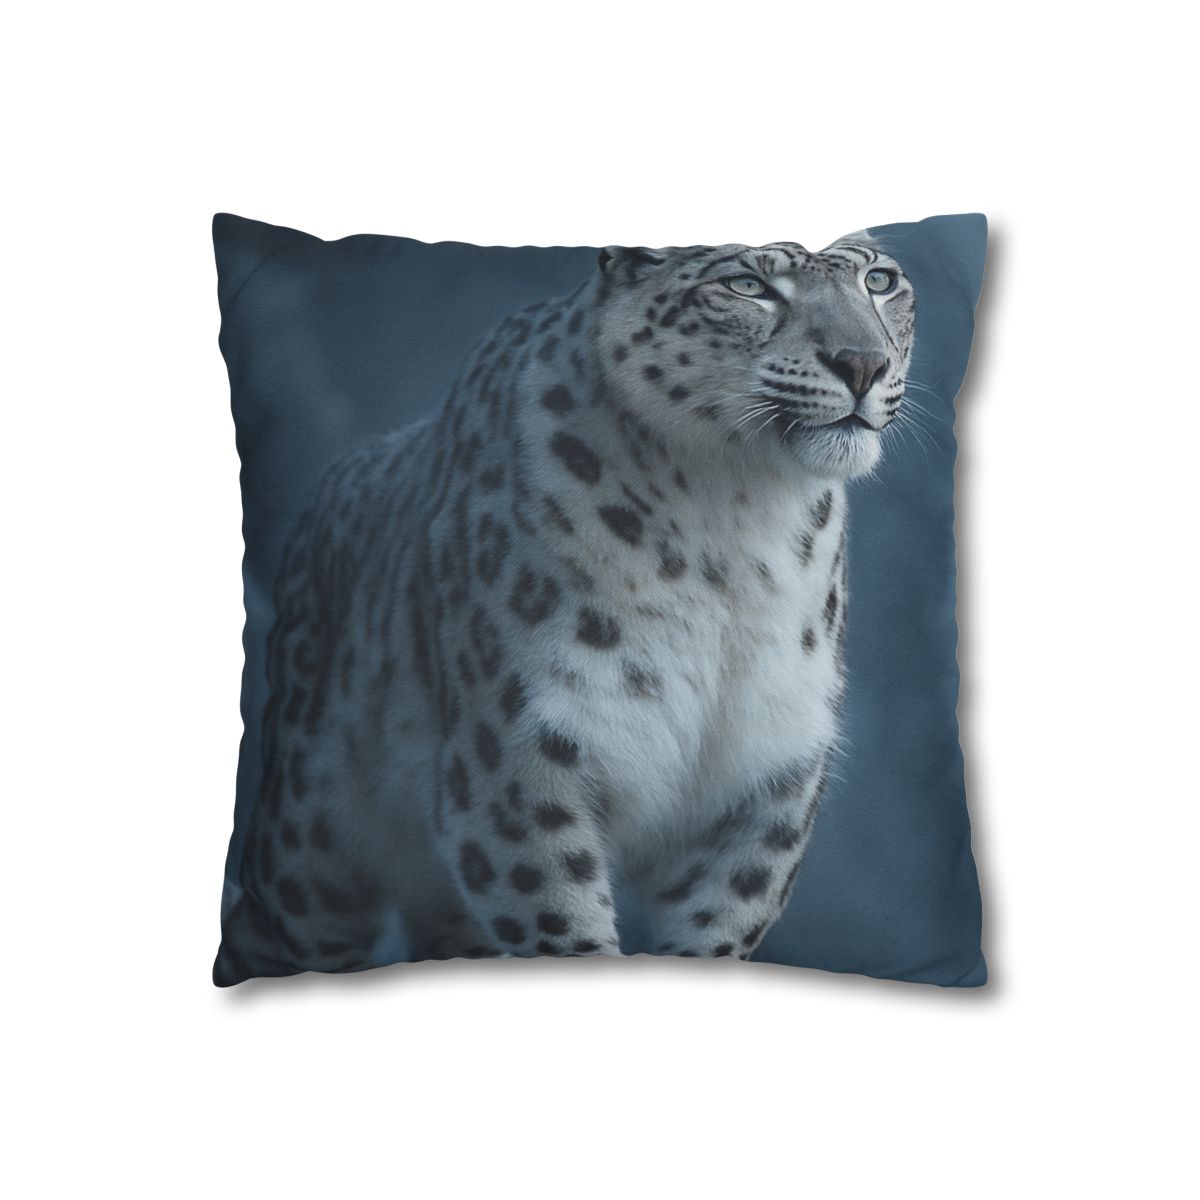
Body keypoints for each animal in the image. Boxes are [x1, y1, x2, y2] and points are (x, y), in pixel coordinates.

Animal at [214, 237, 916, 984]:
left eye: (879, 281)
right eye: (747, 285)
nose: (864, 363)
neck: (737, 524)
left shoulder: (764, 780)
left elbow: (716, 932)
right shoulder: (517, 764)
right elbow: (564, 924)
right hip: (308, 847)